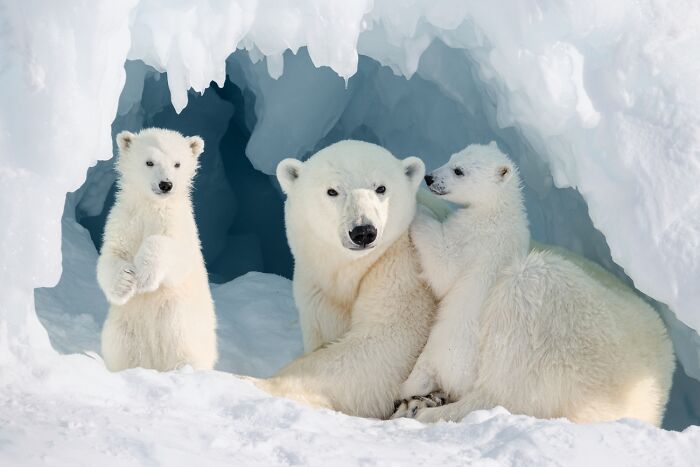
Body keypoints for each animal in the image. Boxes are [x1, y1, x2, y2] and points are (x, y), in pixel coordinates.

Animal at [98, 128, 217, 372]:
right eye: (149, 162)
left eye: (177, 163)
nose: (165, 184)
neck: (151, 206)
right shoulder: (123, 220)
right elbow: (110, 257)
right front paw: (126, 279)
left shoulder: (179, 226)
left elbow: (172, 252)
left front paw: (145, 273)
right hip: (124, 329)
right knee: (121, 349)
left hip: (183, 324)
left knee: (186, 349)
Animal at [250, 140, 436, 419]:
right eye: (332, 191)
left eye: (381, 188)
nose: (363, 231)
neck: (350, 270)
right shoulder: (317, 289)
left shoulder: (401, 268)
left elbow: (382, 345)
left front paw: (257, 383)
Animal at [392, 142, 674, 426]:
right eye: (452, 158)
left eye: (458, 170)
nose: (430, 178)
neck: (499, 213)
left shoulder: (477, 239)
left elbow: (444, 264)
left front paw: (417, 210)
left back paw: (420, 401)